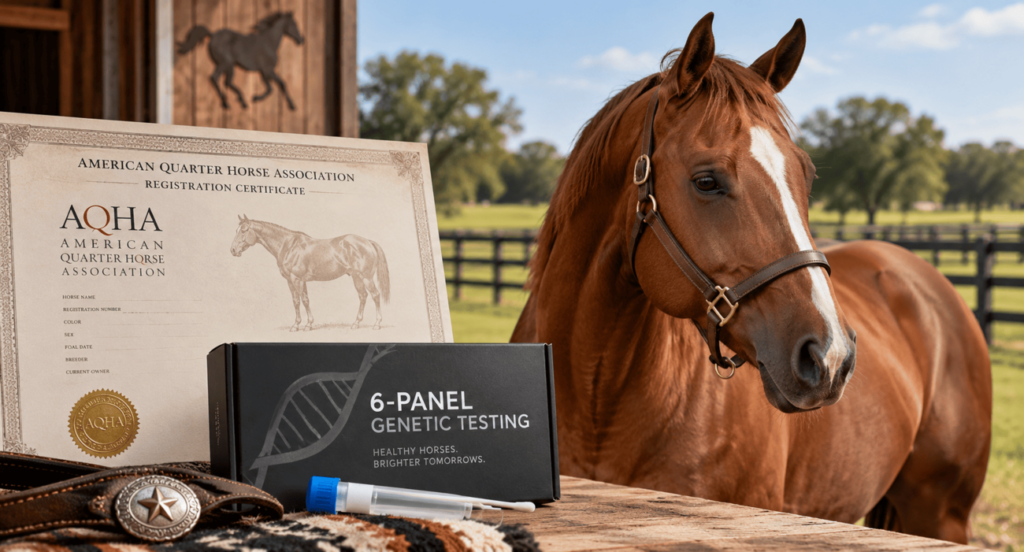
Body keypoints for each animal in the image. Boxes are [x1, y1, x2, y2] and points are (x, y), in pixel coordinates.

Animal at [230, 215, 390, 331]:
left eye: (244, 230)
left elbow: (303, 301)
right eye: (236, 230)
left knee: (375, 295)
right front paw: (297, 325)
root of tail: (368, 241)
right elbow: (297, 301)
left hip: (366, 277)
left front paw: (306, 325)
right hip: (356, 277)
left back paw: (377, 324)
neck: (288, 246)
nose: (233, 250)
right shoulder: (292, 281)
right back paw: (356, 323)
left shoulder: (297, 279)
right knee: (363, 296)